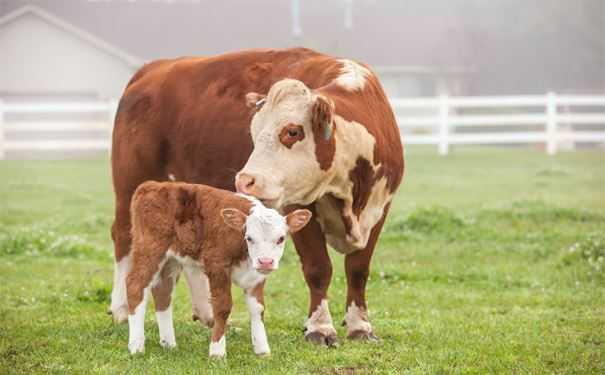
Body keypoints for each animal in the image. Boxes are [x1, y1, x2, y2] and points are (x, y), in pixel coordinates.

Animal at [124, 182, 310, 358]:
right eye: (249, 238)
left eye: (281, 238)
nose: (265, 262)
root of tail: (152, 185)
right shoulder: (217, 266)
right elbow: (222, 307)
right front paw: (217, 351)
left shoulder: (256, 275)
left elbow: (258, 308)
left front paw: (262, 350)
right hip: (149, 249)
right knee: (135, 285)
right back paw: (136, 346)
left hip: (171, 260)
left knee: (163, 291)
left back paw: (168, 343)